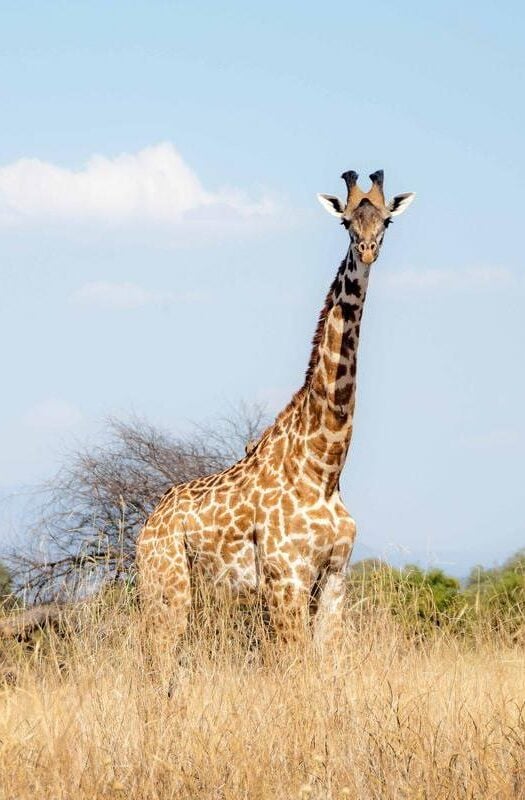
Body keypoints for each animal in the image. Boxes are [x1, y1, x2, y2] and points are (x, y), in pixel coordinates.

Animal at [137, 169, 416, 648]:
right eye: (346, 222)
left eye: (386, 220)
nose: (367, 250)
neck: (324, 467)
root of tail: (147, 527)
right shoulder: (286, 578)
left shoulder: (334, 578)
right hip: (166, 589)